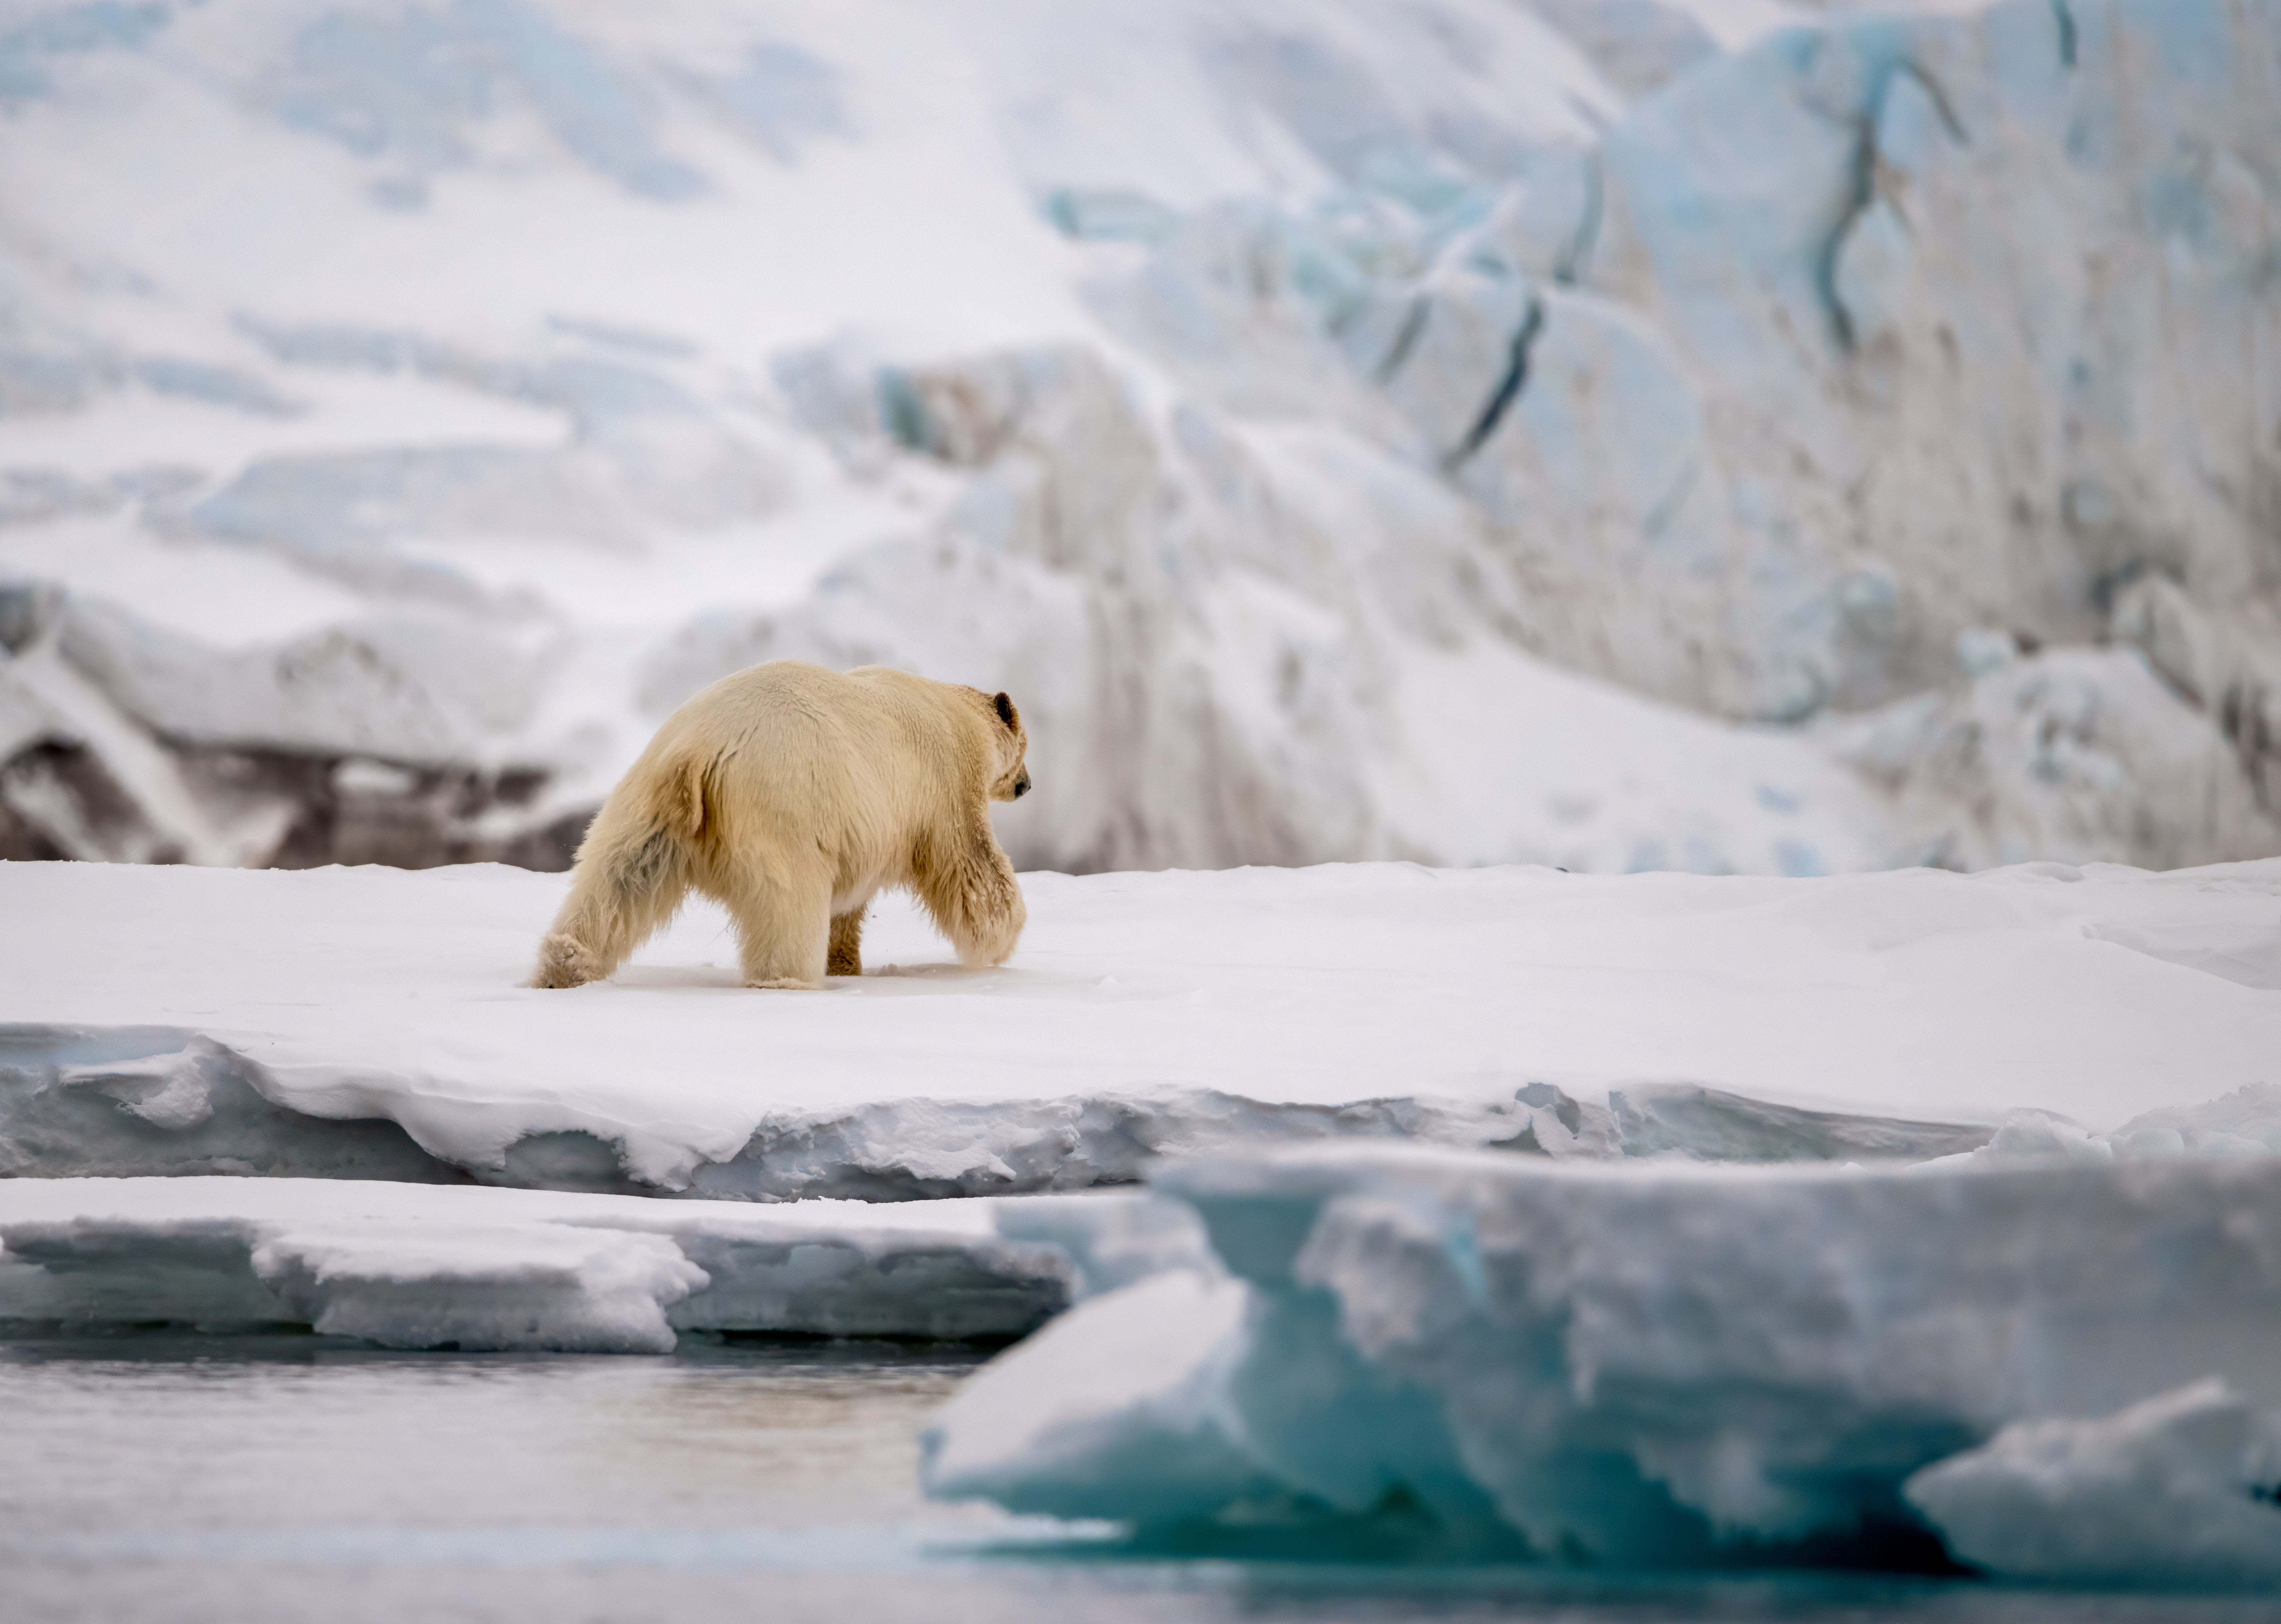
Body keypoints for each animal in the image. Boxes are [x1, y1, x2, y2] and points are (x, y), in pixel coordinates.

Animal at [532, 660, 1031, 991]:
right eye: (1026, 750)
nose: (1026, 785)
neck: (955, 708)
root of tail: (699, 754)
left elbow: (850, 902)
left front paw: (845, 961)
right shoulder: (945, 784)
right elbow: (972, 867)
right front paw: (1000, 944)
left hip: (646, 803)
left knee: (620, 879)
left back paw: (565, 966)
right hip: (780, 807)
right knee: (788, 905)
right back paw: (786, 980)